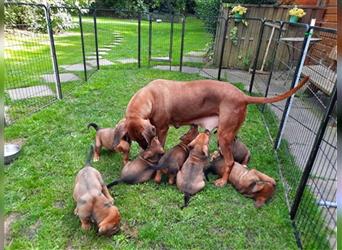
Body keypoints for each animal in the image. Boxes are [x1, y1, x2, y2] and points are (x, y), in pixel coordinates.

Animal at [113, 77, 308, 187]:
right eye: (136, 140)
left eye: (143, 140)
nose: (143, 151)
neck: (151, 97)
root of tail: (242, 96)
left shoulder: (161, 129)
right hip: (227, 135)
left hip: (224, 135)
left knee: (230, 161)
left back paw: (223, 181)